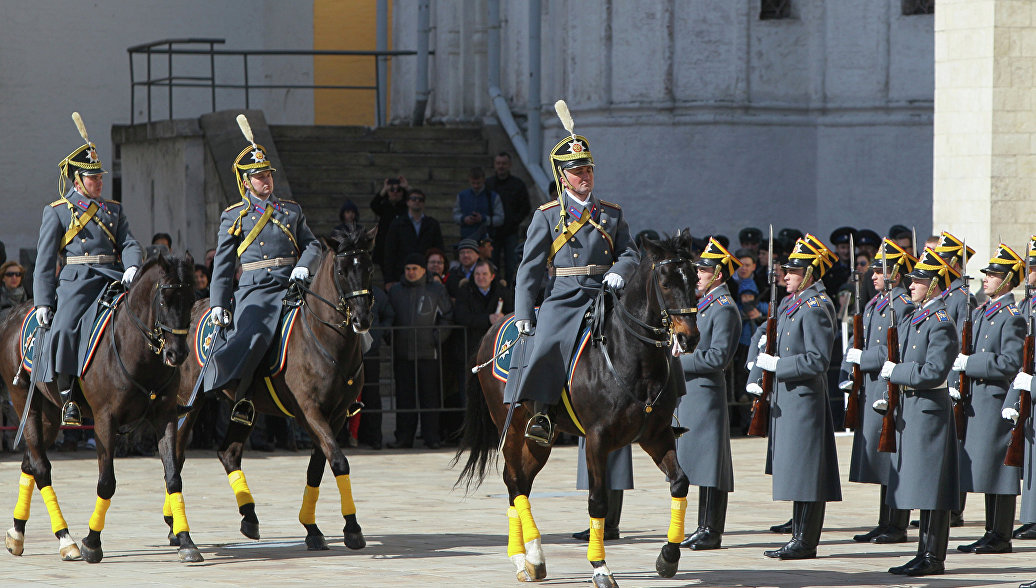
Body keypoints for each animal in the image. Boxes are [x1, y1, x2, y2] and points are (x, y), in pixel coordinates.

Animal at [0, 253, 198, 563]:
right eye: (165, 301)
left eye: (191, 299)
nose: (177, 353)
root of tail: (14, 313)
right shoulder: (106, 420)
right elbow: (106, 482)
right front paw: (92, 542)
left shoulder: (164, 417)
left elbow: (173, 477)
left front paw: (186, 540)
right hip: (24, 402)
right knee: (42, 468)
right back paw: (65, 539)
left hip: (49, 414)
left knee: (29, 463)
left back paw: (18, 533)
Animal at [170, 223, 377, 550]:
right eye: (342, 271)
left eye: (369, 267)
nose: (362, 318)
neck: (324, 337)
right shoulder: (310, 412)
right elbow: (339, 461)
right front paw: (352, 528)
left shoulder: (336, 415)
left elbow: (318, 466)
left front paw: (312, 528)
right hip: (188, 403)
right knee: (175, 452)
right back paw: (175, 528)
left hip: (244, 407)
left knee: (228, 453)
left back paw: (249, 517)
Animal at [457, 231, 700, 588]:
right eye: (666, 282)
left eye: (695, 278)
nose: (689, 337)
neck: (632, 356)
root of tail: (496, 328)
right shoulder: (597, 440)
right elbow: (597, 500)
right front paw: (600, 567)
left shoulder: (656, 435)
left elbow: (680, 483)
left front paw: (668, 556)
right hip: (511, 426)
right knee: (513, 480)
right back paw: (522, 558)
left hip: (540, 439)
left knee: (522, 482)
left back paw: (533, 559)